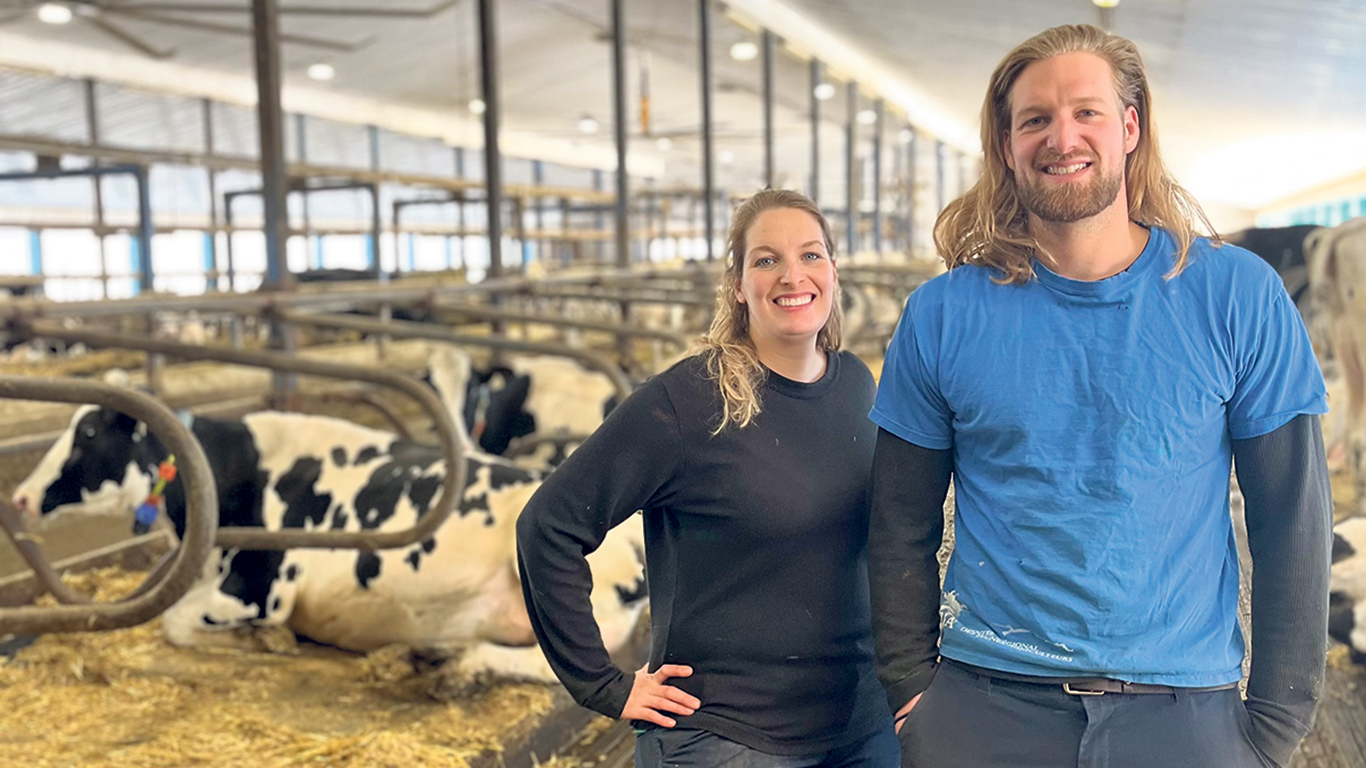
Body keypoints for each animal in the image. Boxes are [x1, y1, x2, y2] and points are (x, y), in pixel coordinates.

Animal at [9, 401, 650, 688]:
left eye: (89, 433)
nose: (18, 496)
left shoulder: (261, 586)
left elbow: (177, 622)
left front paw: (263, 642)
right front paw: (265, 641)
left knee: (583, 662)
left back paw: (458, 666)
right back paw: (430, 652)